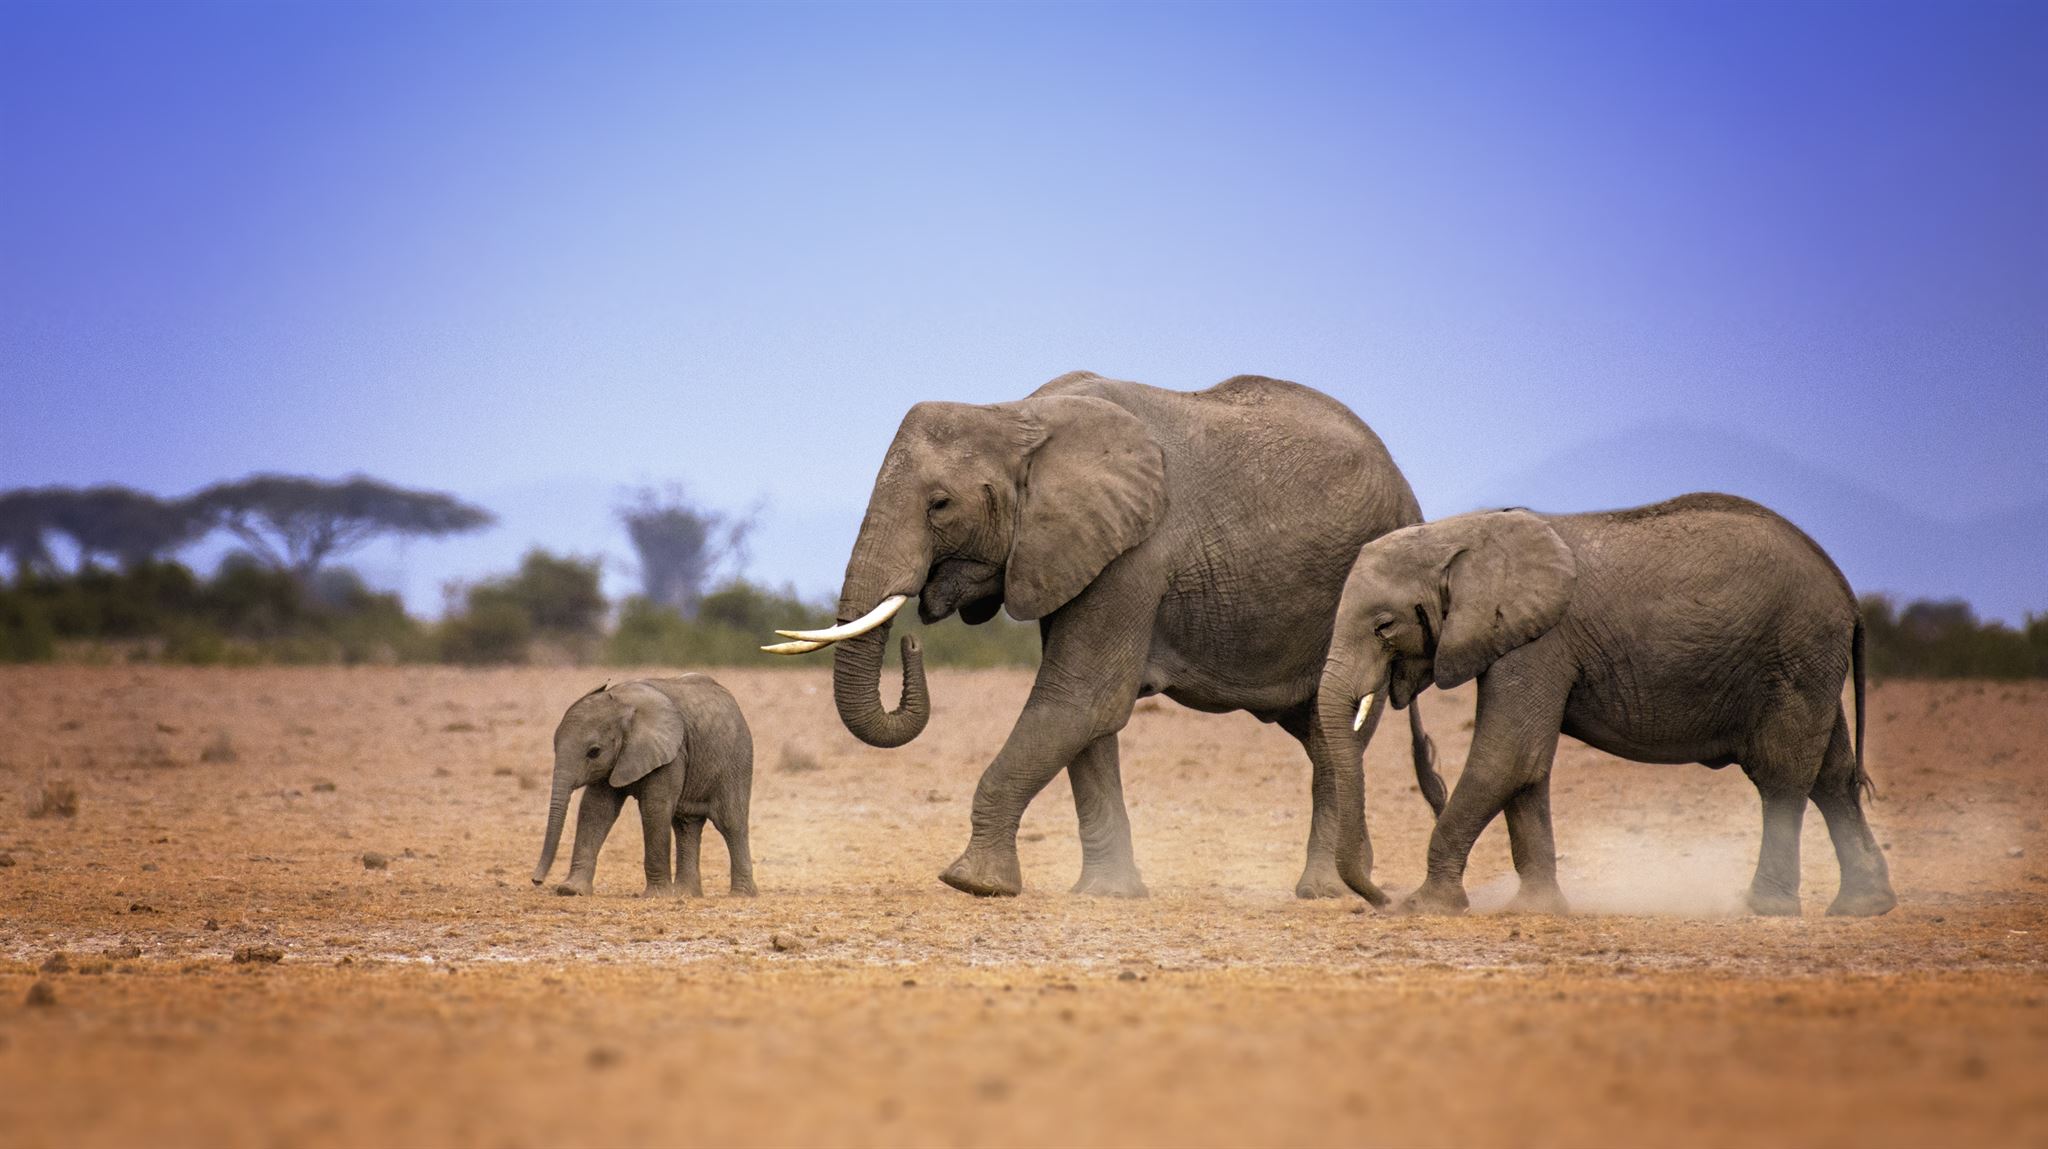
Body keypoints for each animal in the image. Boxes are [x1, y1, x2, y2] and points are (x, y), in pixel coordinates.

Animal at [530, 676, 756, 898]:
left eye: (594, 752)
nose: (536, 881)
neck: (623, 703)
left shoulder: (672, 754)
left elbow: (654, 808)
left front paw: (656, 896)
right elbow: (596, 809)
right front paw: (571, 890)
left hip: (736, 759)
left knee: (730, 822)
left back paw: (741, 895)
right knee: (685, 824)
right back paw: (685, 894)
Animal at [766, 371, 1446, 901]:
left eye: (940, 505)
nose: (912, 644)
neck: (1015, 414)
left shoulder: (1135, 552)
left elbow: (1080, 698)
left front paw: (972, 883)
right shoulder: (1069, 550)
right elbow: (1086, 719)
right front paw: (1107, 894)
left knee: (1337, 735)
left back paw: (1323, 893)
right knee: (1321, 732)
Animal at [1319, 492, 1898, 918]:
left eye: (1384, 625)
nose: (1377, 898)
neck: (1461, 534)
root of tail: (1849, 594)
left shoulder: (1540, 643)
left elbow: (1506, 756)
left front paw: (1424, 908)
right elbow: (1527, 768)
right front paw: (1536, 911)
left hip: (1795, 653)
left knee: (1782, 776)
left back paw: (1763, 909)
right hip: (1810, 662)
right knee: (1832, 776)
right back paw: (1863, 907)